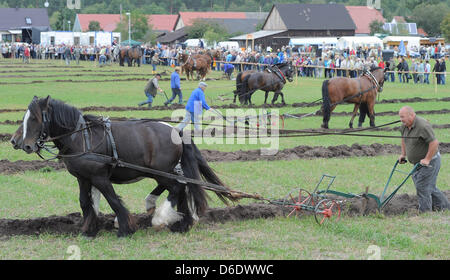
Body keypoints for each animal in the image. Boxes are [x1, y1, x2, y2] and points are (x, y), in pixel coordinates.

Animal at [16, 96, 236, 238]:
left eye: (34, 118)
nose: (23, 144)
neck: (81, 138)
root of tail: (176, 131)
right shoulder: (83, 177)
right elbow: (85, 202)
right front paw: (89, 230)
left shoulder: (99, 177)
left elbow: (113, 200)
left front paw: (125, 229)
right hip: (163, 171)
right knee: (180, 188)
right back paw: (180, 222)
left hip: (162, 171)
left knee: (177, 188)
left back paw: (161, 219)